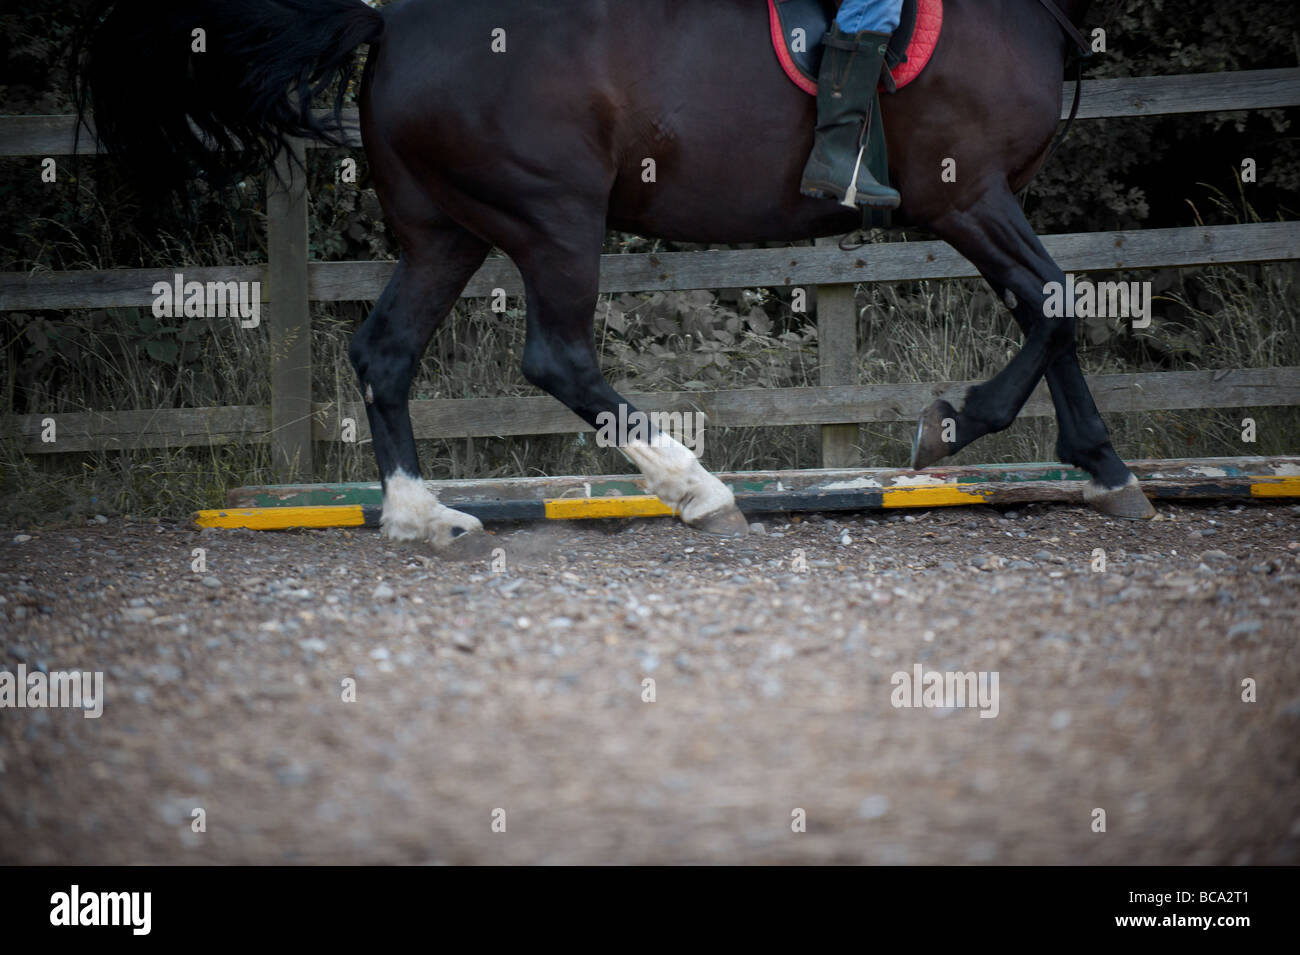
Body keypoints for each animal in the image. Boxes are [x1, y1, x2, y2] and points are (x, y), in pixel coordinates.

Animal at [76, 0, 1153, 548]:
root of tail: (392, 22)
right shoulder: (966, 196)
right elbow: (1058, 300)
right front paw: (954, 425)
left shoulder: (986, 202)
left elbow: (1050, 304)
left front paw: (1103, 465)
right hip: (554, 217)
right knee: (556, 358)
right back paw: (698, 489)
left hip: (446, 232)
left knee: (383, 351)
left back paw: (421, 515)